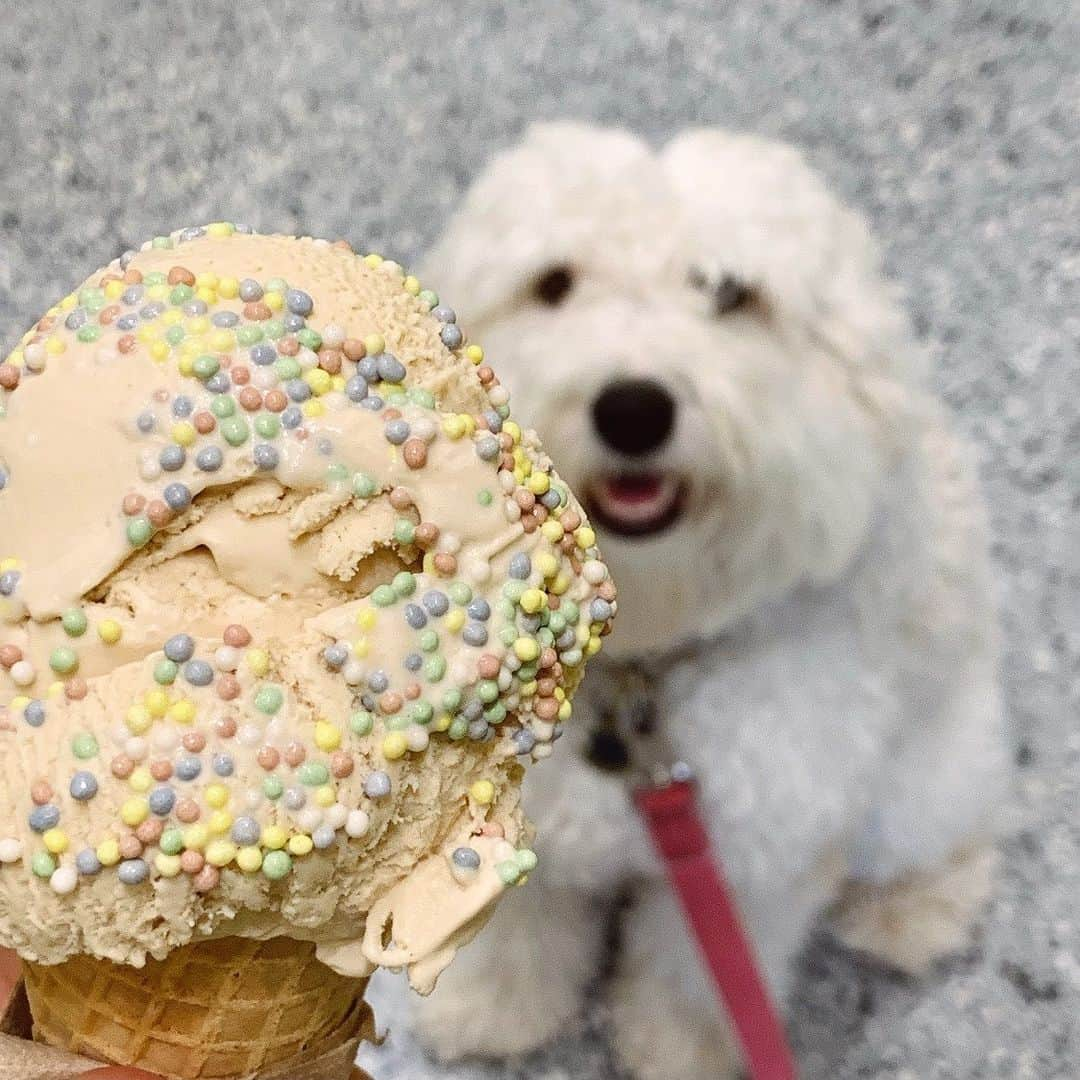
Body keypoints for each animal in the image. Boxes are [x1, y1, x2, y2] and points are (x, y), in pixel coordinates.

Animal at [401, 124, 1006, 1080]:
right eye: (554, 283)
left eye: (731, 293)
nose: (633, 408)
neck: (639, 657)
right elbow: (512, 934)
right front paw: (488, 1011)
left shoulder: (757, 855)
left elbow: (698, 978)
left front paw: (680, 1055)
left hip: (925, 773)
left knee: (955, 834)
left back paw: (913, 912)